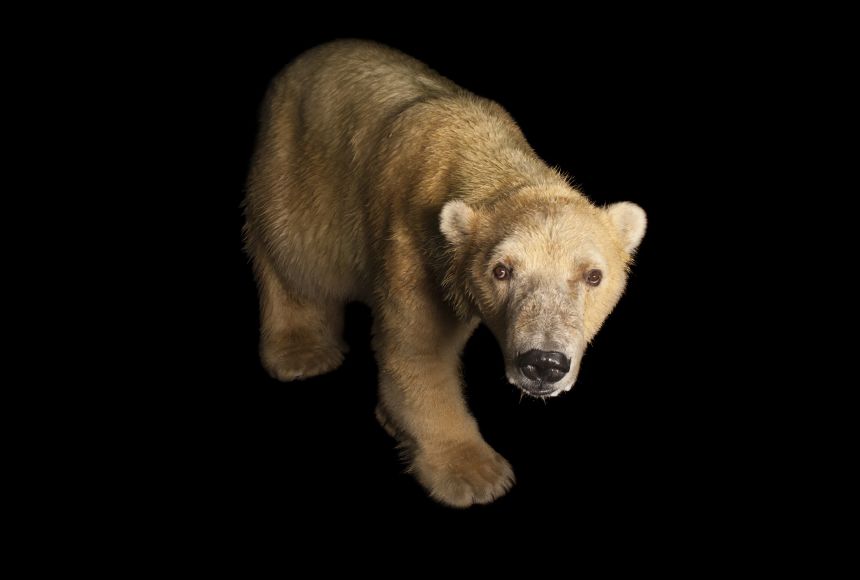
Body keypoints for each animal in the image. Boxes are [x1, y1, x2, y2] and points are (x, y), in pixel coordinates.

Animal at [244, 39, 644, 508]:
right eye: (501, 271)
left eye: (592, 276)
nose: (543, 363)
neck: (480, 149)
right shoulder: (413, 247)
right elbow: (418, 353)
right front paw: (475, 474)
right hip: (300, 166)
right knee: (294, 256)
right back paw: (302, 351)